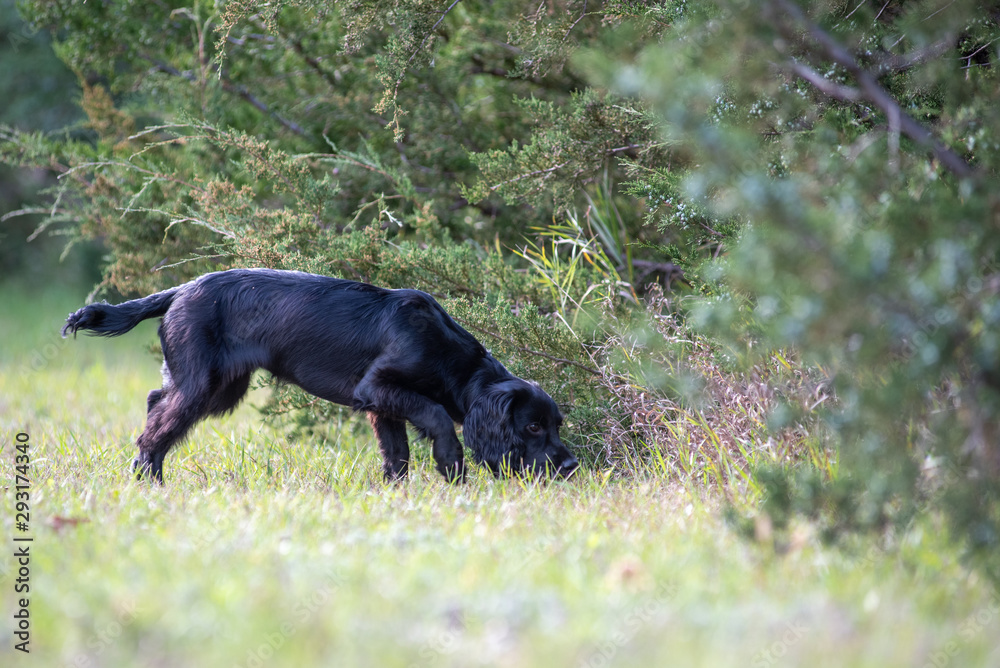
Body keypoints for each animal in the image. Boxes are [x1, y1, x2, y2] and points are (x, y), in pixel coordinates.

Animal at [62, 268, 580, 482]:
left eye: (556, 425)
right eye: (533, 426)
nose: (570, 465)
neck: (447, 351)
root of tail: (179, 290)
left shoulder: (380, 406)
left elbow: (396, 453)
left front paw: (396, 493)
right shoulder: (378, 387)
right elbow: (435, 415)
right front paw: (452, 466)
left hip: (215, 385)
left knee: (156, 403)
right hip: (204, 385)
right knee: (156, 428)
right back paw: (149, 482)